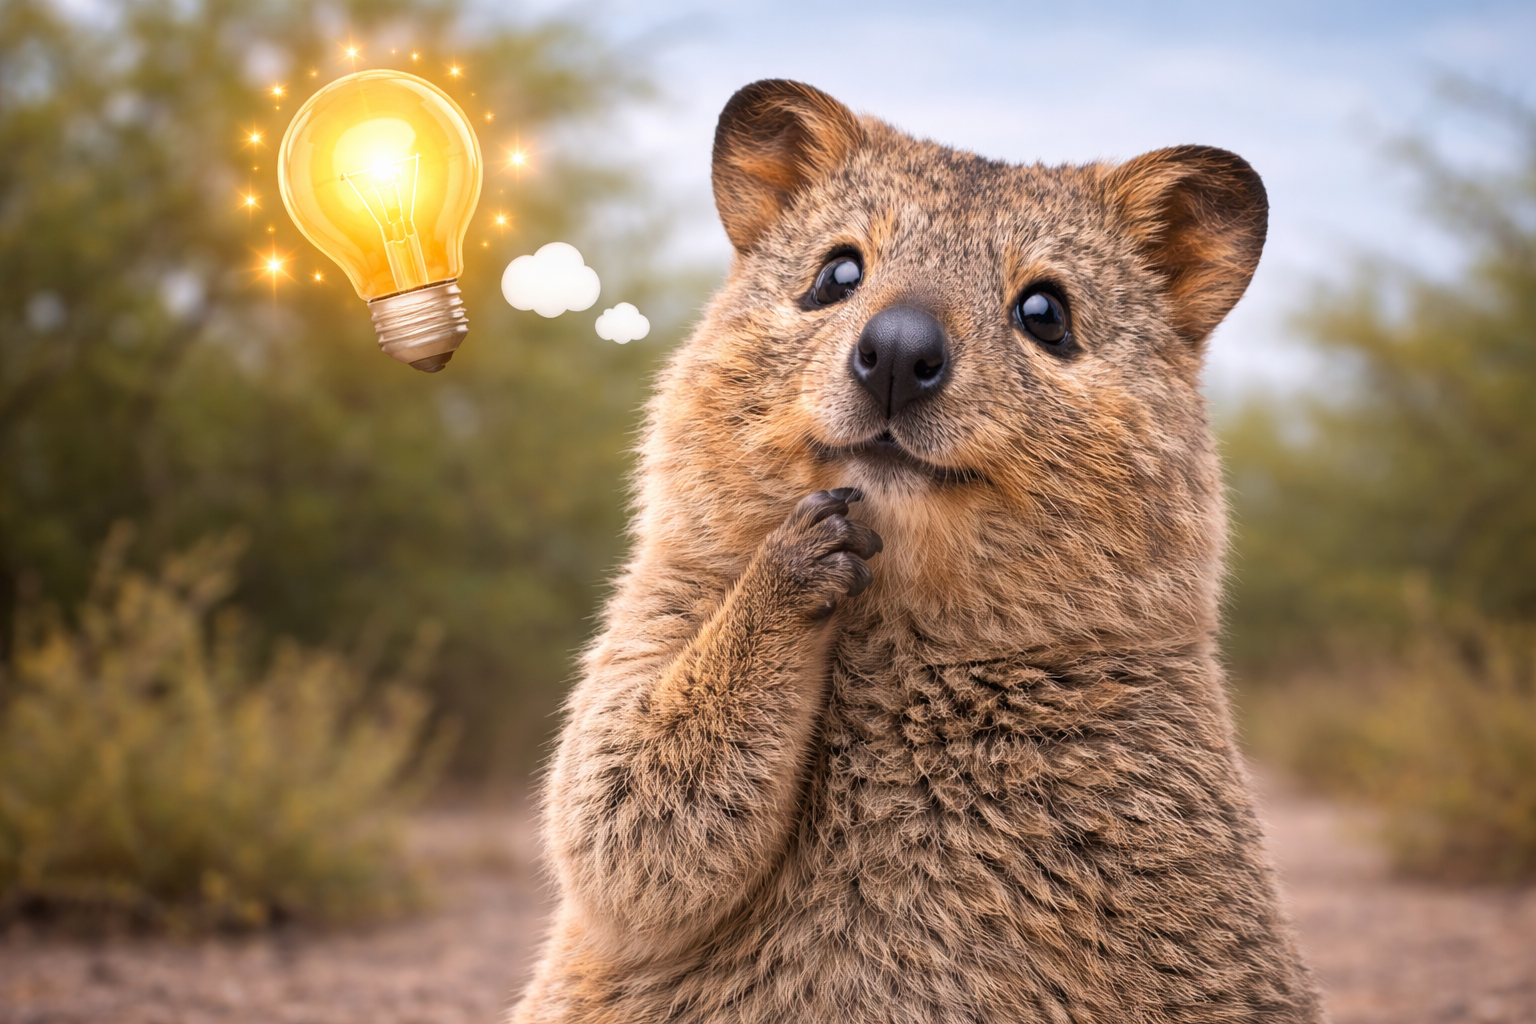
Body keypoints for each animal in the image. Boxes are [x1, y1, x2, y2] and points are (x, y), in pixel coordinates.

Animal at [511, 80, 1324, 1023]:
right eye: (836, 272)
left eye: (1046, 311)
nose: (898, 351)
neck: (899, 635)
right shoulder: (640, 641)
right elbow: (618, 818)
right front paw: (802, 555)